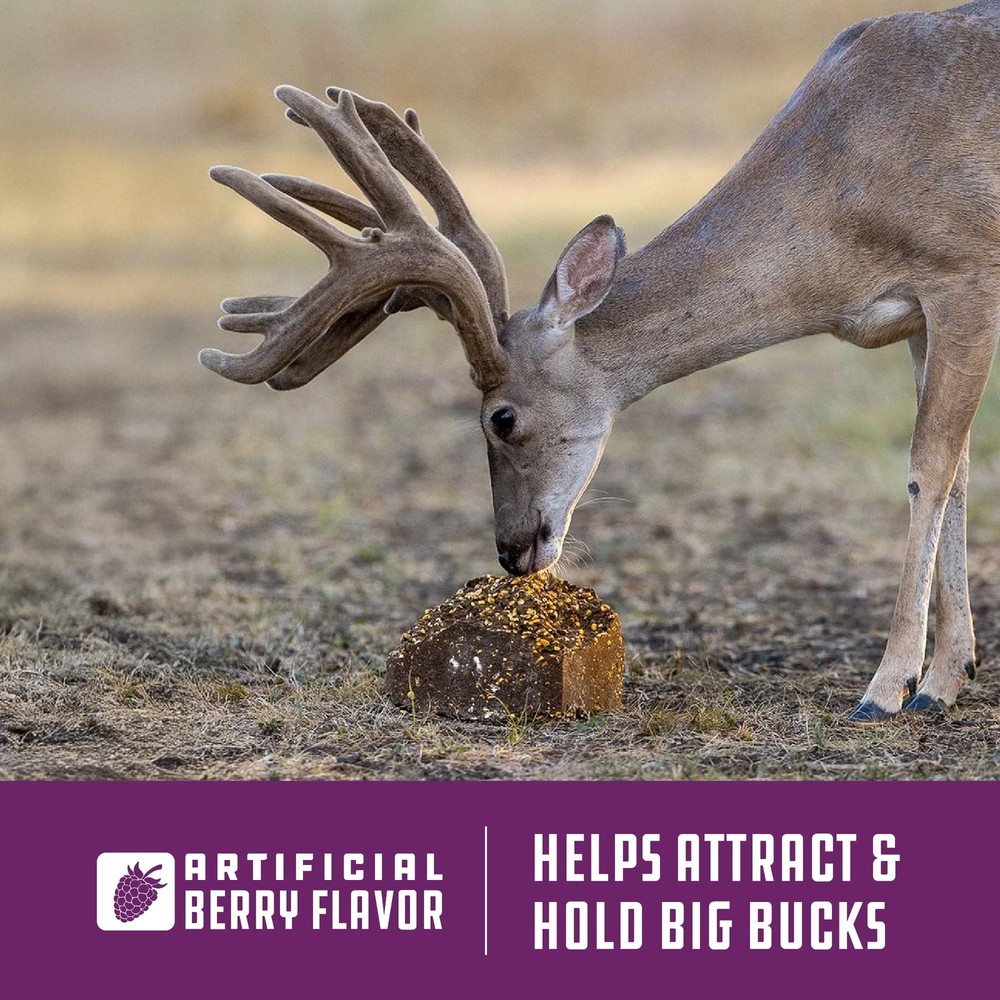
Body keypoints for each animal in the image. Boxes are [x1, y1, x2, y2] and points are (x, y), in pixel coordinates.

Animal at [201, 0, 1000, 722]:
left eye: (500, 417)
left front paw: (891, 688)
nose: (512, 550)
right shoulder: (917, 317)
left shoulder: (965, 274)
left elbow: (927, 467)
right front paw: (949, 673)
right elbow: (957, 472)